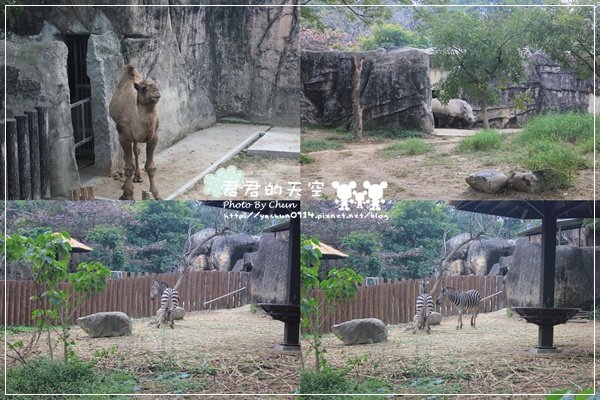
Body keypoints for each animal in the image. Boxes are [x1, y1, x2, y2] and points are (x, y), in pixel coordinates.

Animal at [109, 65, 162, 200]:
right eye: (143, 88)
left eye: (157, 85)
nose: (156, 92)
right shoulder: (124, 136)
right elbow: (128, 166)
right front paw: (127, 194)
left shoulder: (153, 136)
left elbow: (150, 167)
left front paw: (156, 194)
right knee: (127, 156)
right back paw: (127, 184)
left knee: (136, 151)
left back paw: (138, 177)